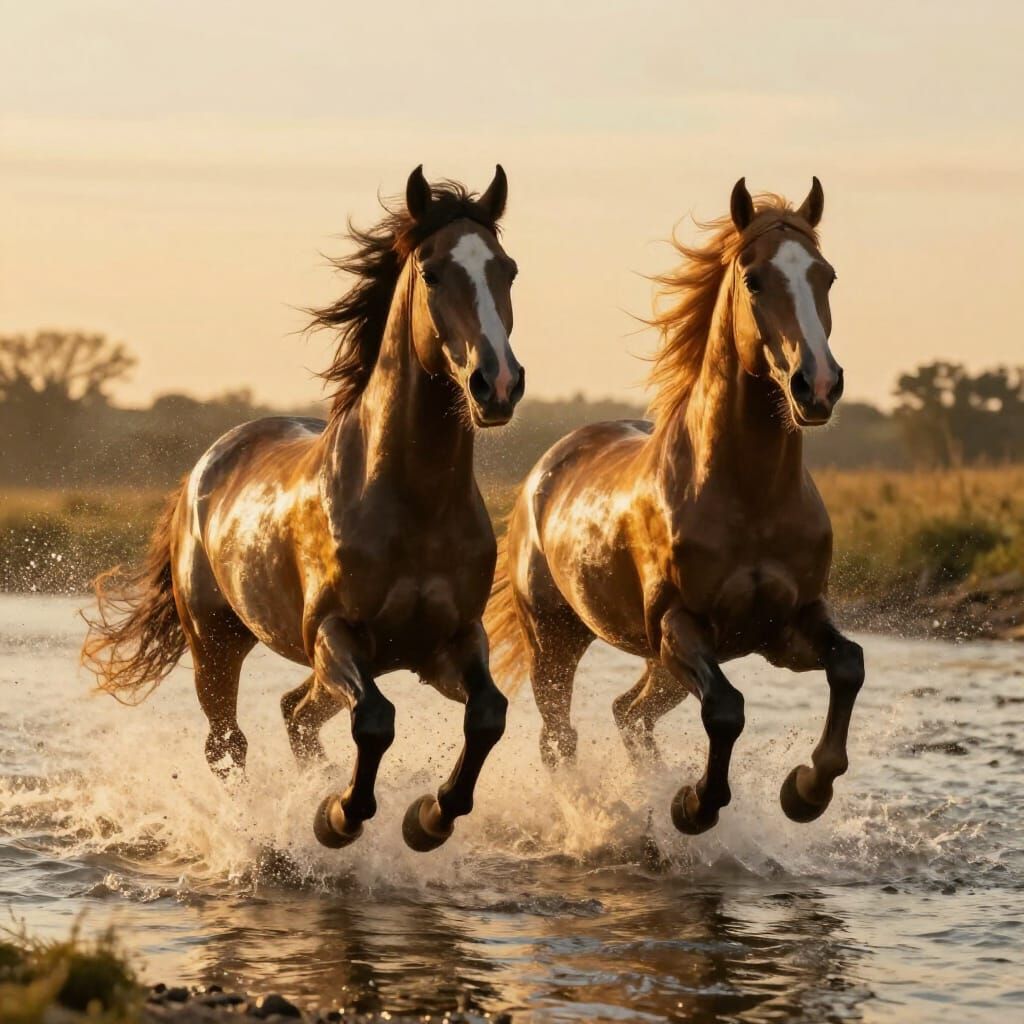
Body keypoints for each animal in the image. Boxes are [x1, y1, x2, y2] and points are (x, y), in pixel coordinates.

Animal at [82, 165, 526, 853]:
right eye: (431, 273)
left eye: (507, 269)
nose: (497, 384)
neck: (414, 503)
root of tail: (204, 467)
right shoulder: (334, 635)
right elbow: (376, 720)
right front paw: (338, 817)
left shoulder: (448, 643)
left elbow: (488, 716)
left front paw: (427, 818)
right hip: (216, 643)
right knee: (228, 745)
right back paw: (258, 834)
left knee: (294, 712)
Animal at [486, 178, 864, 835]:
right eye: (755, 279)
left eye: (827, 275)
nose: (817, 386)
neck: (750, 496)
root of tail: (545, 468)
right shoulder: (679, 626)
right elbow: (727, 708)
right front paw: (695, 805)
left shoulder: (791, 625)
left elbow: (849, 665)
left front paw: (805, 792)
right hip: (557, 641)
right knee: (561, 737)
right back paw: (596, 817)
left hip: (655, 665)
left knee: (628, 713)